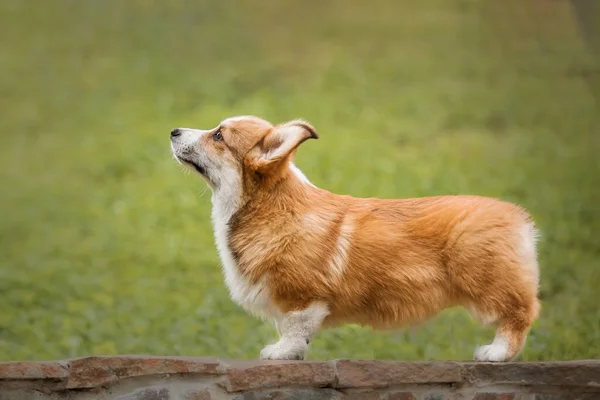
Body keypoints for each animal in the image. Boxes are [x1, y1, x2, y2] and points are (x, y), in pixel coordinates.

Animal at [169, 115, 540, 362]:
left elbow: (293, 328)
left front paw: (281, 352)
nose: (173, 130)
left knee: (521, 312)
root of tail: (518, 217)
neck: (267, 206)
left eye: (218, 136)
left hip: (485, 280)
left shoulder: (301, 296)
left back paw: (497, 352)